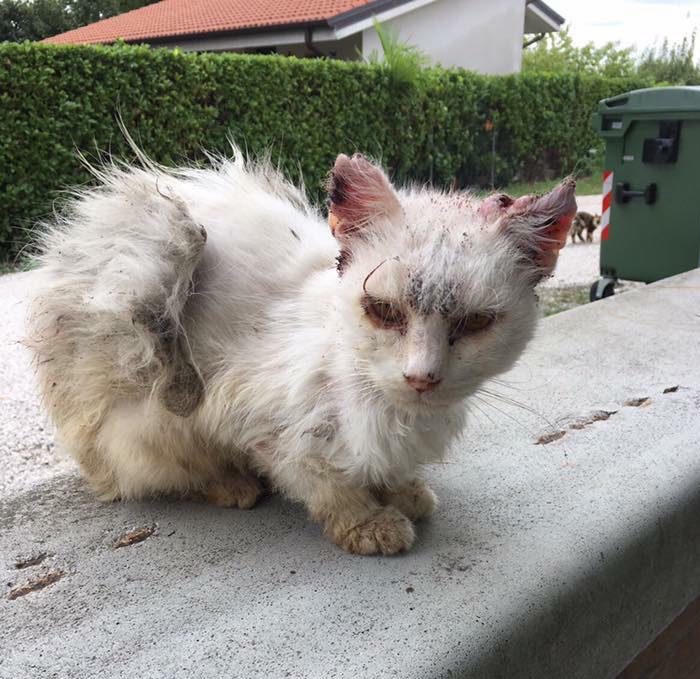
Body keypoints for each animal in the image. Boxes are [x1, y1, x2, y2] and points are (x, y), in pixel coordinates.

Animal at [27, 151, 576, 556]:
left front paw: (404, 491)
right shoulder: (261, 423)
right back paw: (233, 486)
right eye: (383, 311)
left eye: (476, 323)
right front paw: (369, 525)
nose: (421, 377)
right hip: (152, 372)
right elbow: (326, 486)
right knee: (168, 464)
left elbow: (387, 469)